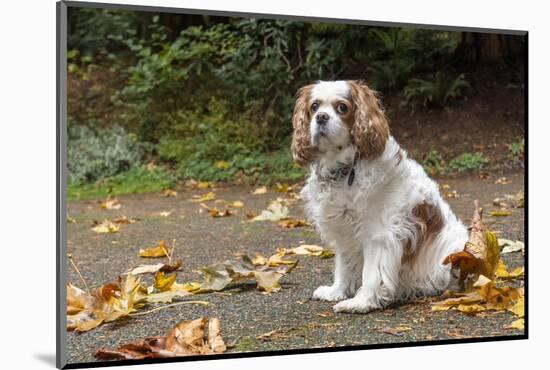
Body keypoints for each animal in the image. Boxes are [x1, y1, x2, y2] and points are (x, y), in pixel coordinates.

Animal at [294, 80, 470, 312]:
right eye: (314, 107)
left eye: (342, 107)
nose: (321, 117)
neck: (345, 170)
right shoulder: (344, 232)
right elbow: (344, 266)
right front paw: (337, 291)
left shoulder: (378, 234)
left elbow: (371, 273)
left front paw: (361, 302)